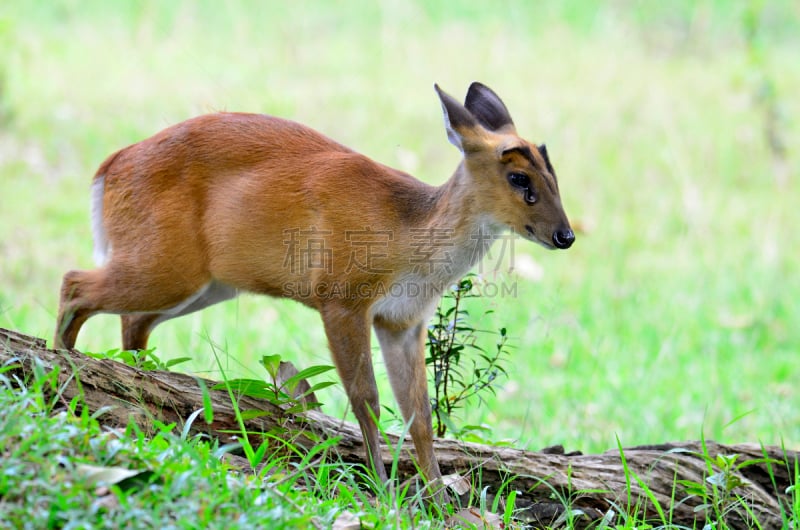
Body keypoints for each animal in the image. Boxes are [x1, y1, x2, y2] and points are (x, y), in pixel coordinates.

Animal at [54, 81, 576, 496]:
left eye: (554, 175)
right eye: (518, 177)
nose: (565, 236)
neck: (408, 238)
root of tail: (107, 169)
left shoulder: (403, 320)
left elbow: (421, 416)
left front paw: (439, 501)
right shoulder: (341, 297)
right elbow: (367, 399)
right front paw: (383, 492)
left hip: (204, 283)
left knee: (130, 320)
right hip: (166, 263)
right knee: (74, 283)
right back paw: (59, 377)